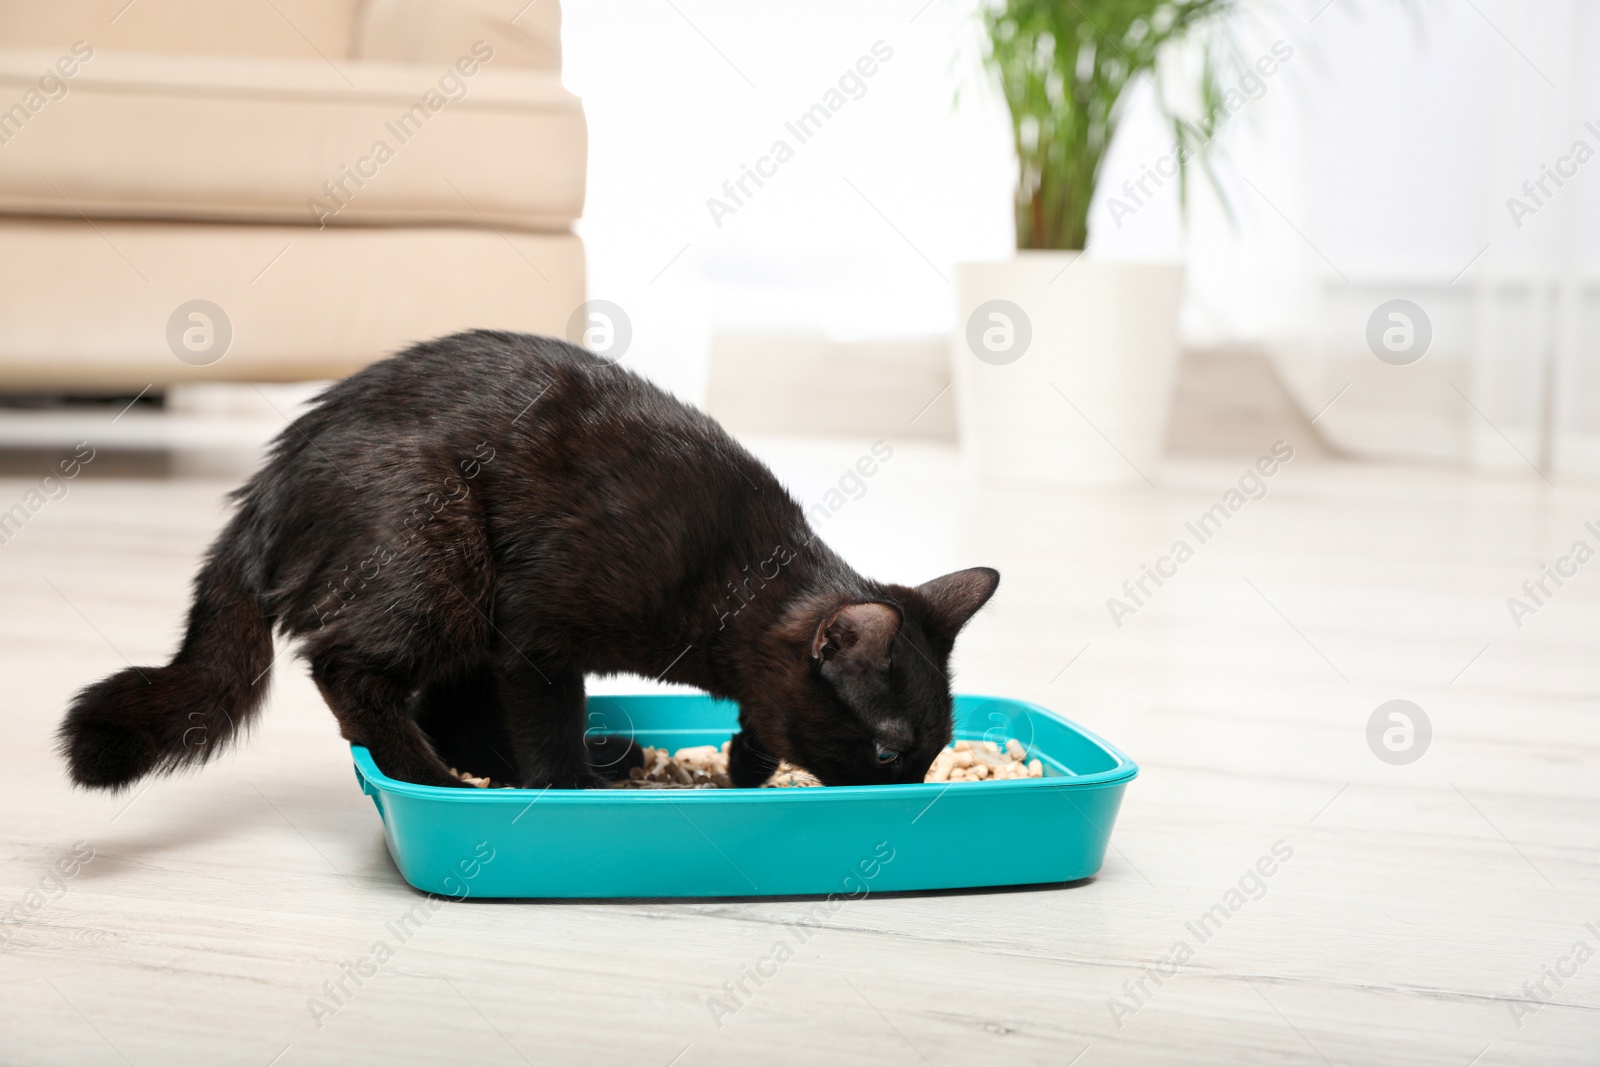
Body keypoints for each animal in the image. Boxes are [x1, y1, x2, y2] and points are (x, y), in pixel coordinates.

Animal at [62, 334, 998, 793]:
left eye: (933, 748)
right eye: (890, 751)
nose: (914, 791)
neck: (741, 581)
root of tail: (262, 493)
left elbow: (764, 715)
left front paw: (744, 762)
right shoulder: (540, 639)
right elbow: (547, 725)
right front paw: (571, 787)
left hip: (466, 621)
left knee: (444, 709)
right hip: (439, 557)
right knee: (350, 677)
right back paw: (447, 778)